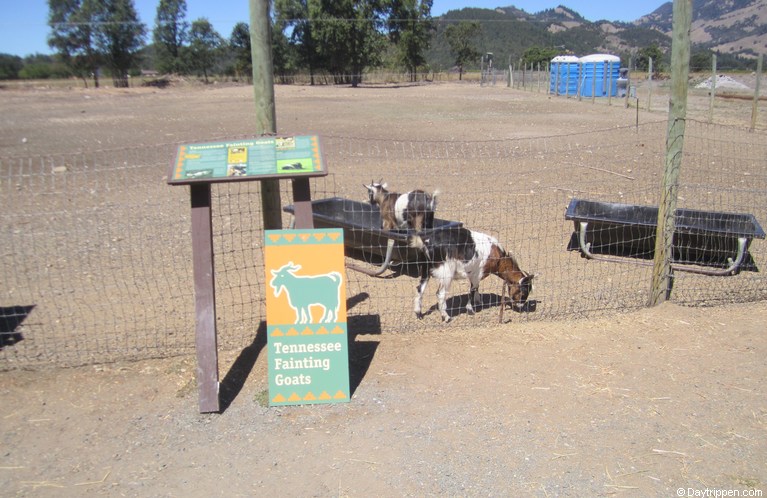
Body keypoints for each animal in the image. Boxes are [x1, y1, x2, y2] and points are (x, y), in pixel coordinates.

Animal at [408, 227, 536, 320]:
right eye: (523, 292)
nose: (521, 307)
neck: (499, 259)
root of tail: (427, 243)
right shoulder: (477, 273)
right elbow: (472, 289)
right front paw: (470, 309)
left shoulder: (473, 273)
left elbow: (476, 288)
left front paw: (478, 301)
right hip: (446, 271)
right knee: (440, 293)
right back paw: (446, 317)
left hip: (426, 268)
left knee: (419, 289)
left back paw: (418, 314)